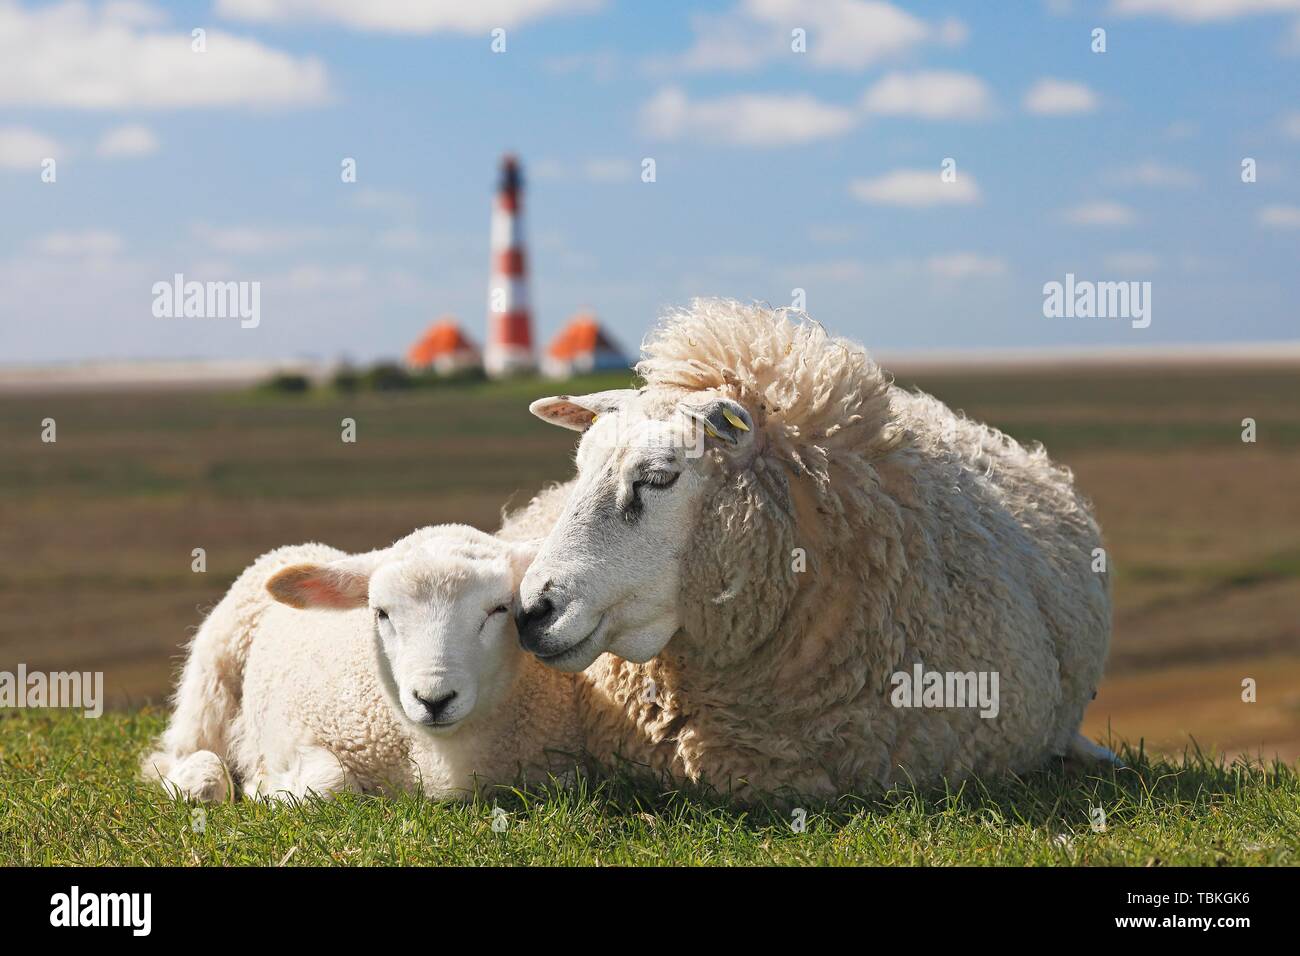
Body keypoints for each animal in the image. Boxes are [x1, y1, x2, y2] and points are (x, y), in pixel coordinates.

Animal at [141, 528, 579, 806]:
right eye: (381, 613)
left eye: (499, 610)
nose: (433, 699)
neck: (436, 754)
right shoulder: (291, 731)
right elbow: (328, 785)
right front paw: (265, 788)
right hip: (212, 678)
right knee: (183, 752)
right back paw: (199, 779)